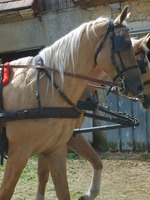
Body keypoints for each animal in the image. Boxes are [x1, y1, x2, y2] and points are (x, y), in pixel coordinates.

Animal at [34, 35, 150, 199]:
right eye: (143, 64)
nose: (143, 92)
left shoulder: (68, 136)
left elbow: (97, 161)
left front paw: (90, 193)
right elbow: (43, 175)